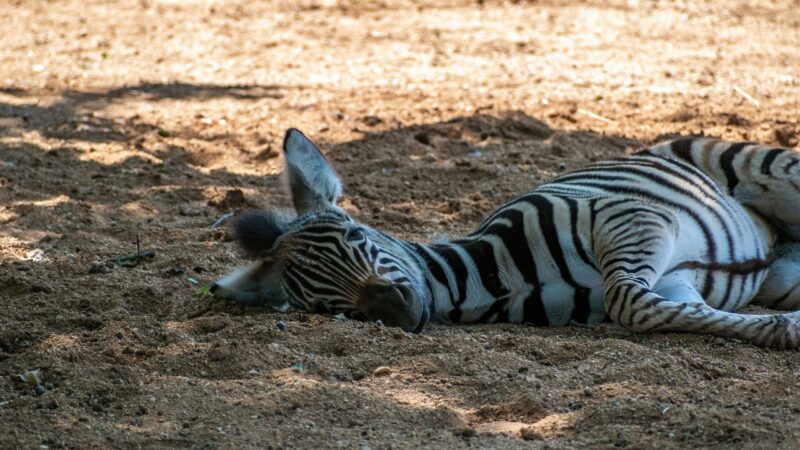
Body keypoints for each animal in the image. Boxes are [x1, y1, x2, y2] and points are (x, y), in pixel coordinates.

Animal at [211, 128, 800, 348]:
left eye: (356, 234)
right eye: (320, 303)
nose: (394, 311)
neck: (494, 279)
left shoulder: (633, 217)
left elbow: (626, 300)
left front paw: (790, 329)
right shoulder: (676, 284)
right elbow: (663, 310)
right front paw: (783, 329)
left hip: (766, 172)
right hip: (781, 273)